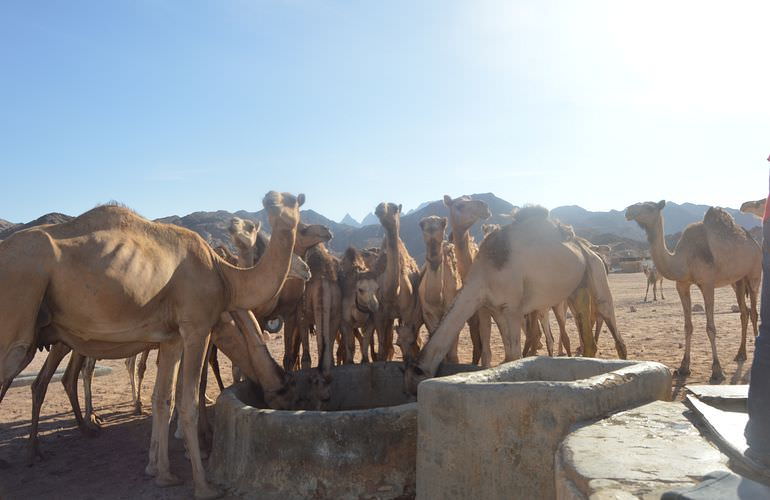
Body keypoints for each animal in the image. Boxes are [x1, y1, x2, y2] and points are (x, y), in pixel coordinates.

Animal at [0, 192, 318, 500]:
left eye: (290, 200)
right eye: (289, 389)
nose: (269, 201)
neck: (226, 276)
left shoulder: (172, 337)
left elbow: (163, 398)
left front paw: (161, 473)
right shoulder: (198, 327)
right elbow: (189, 399)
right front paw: (203, 483)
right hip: (19, 312)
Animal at [624, 201, 760, 380]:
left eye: (649, 207)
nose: (628, 211)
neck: (684, 259)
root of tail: (754, 242)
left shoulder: (707, 284)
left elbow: (710, 328)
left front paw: (717, 370)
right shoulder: (682, 285)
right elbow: (687, 326)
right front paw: (683, 367)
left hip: (754, 272)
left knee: (754, 310)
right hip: (737, 280)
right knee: (744, 312)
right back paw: (740, 354)